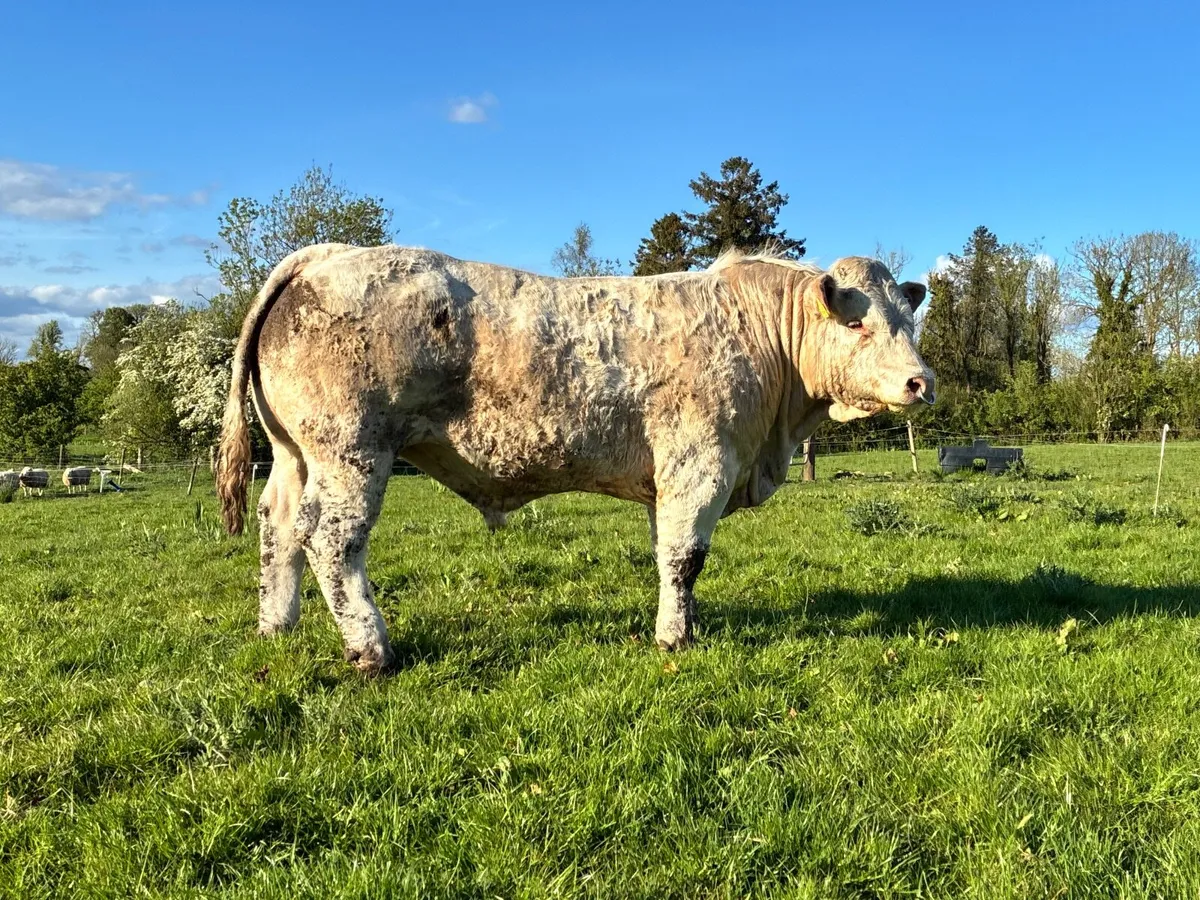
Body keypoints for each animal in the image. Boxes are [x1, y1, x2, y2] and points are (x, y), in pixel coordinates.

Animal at [217, 243, 934, 672]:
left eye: (909, 321)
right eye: (858, 324)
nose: (920, 381)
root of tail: (326, 254)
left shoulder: (666, 482)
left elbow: (668, 556)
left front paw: (681, 623)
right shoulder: (701, 466)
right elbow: (686, 558)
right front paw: (676, 638)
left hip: (293, 454)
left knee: (279, 526)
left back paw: (276, 626)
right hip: (351, 450)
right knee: (330, 539)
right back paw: (372, 649)